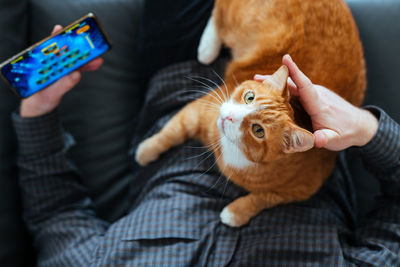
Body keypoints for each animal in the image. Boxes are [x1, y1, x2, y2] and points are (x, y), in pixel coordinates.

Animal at [135, 0, 366, 228]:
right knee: (218, 13)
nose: (228, 117)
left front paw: (235, 213)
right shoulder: (199, 111)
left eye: (258, 131)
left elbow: (263, 198)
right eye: (249, 97)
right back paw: (207, 48)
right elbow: (169, 133)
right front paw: (145, 151)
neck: (232, 149)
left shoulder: (303, 189)